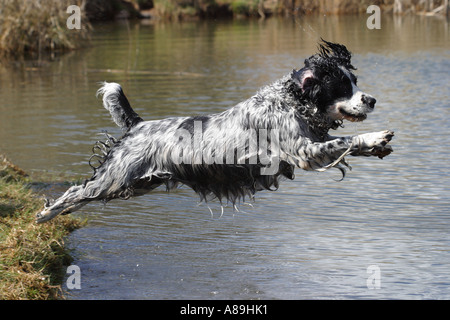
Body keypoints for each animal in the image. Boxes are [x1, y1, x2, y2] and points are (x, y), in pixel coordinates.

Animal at [36, 40, 394, 224]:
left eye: (355, 81)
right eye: (342, 86)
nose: (372, 100)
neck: (287, 101)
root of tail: (137, 124)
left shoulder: (313, 142)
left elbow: (344, 144)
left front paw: (377, 146)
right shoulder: (305, 151)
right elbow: (347, 140)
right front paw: (375, 137)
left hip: (135, 185)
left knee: (80, 197)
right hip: (116, 179)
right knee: (74, 192)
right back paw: (44, 214)